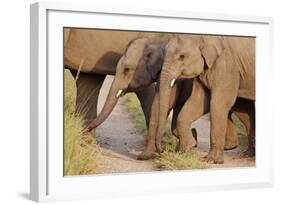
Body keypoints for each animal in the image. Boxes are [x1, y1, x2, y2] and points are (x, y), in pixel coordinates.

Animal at [87, 36, 238, 159]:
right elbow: (159, 105)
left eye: (127, 70)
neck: (157, 42)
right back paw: (229, 146)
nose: (87, 128)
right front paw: (146, 156)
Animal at [156, 34, 255, 163]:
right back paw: (247, 155)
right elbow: (199, 101)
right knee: (245, 111)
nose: (162, 150)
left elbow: (217, 103)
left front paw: (211, 161)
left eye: (182, 57)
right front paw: (189, 147)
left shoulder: (226, 64)